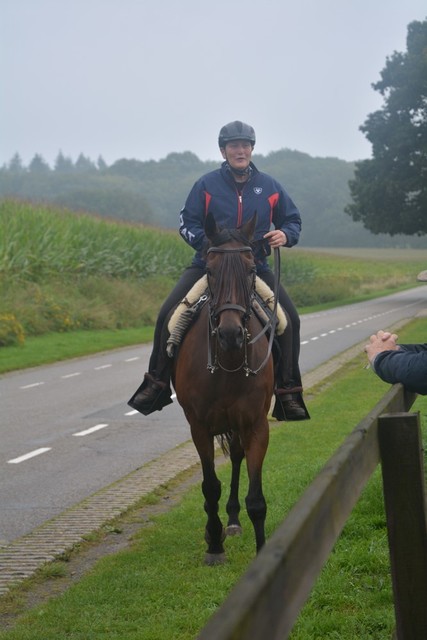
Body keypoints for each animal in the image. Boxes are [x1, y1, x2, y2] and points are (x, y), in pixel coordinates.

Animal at [172, 212, 276, 564]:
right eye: (210, 271)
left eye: (252, 270)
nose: (231, 333)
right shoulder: (199, 427)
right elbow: (209, 486)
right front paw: (214, 545)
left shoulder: (256, 425)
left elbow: (256, 498)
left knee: (237, 457)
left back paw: (232, 520)